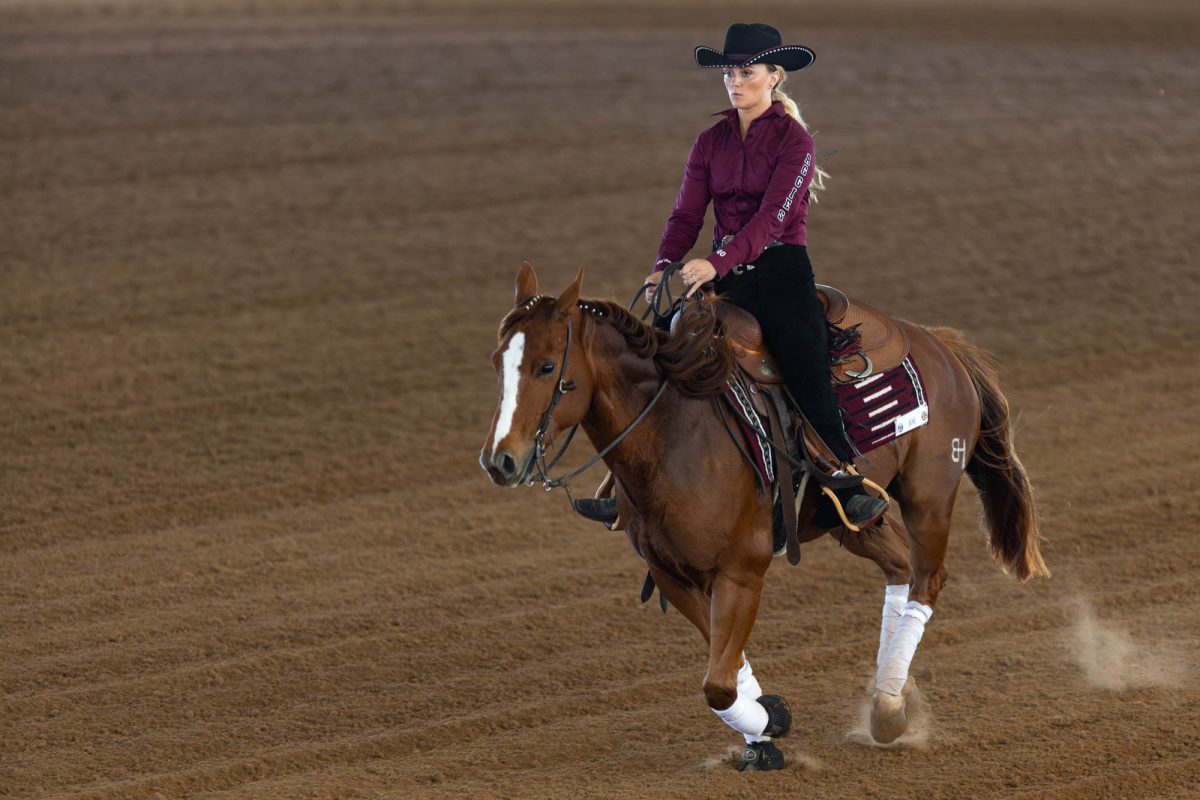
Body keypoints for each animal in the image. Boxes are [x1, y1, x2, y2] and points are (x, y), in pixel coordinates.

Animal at [477, 262, 1041, 767]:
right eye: (497, 363)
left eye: (547, 366)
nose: (500, 460)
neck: (674, 433)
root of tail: (938, 342)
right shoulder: (673, 575)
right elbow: (724, 665)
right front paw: (763, 732)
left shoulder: (742, 571)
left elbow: (718, 685)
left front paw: (772, 720)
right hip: (854, 520)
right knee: (900, 567)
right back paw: (894, 692)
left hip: (930, 496)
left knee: (927, 579)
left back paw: (886, 709)